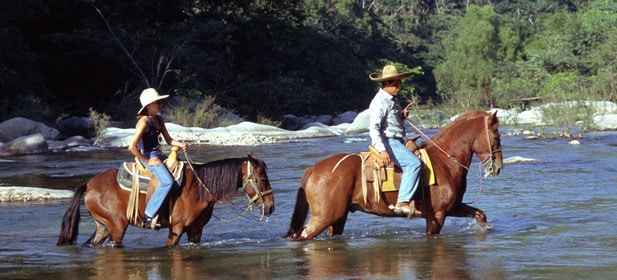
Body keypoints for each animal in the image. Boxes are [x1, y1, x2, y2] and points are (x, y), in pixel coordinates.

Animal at [57, 154, 274, 246]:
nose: (271, 207)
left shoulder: (196, 231)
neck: (199, 189)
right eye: (262, 179)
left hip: (103, 226)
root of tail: (88, 185)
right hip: (117, 227)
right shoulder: (176, 228)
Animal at [286, 110, 502, 240]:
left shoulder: (453, 207)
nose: (498, 167)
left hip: (338, 217)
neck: (445, 162)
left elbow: (480, 215)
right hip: (323, 217)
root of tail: (314, 168)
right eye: (496, 136)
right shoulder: (437, 215)